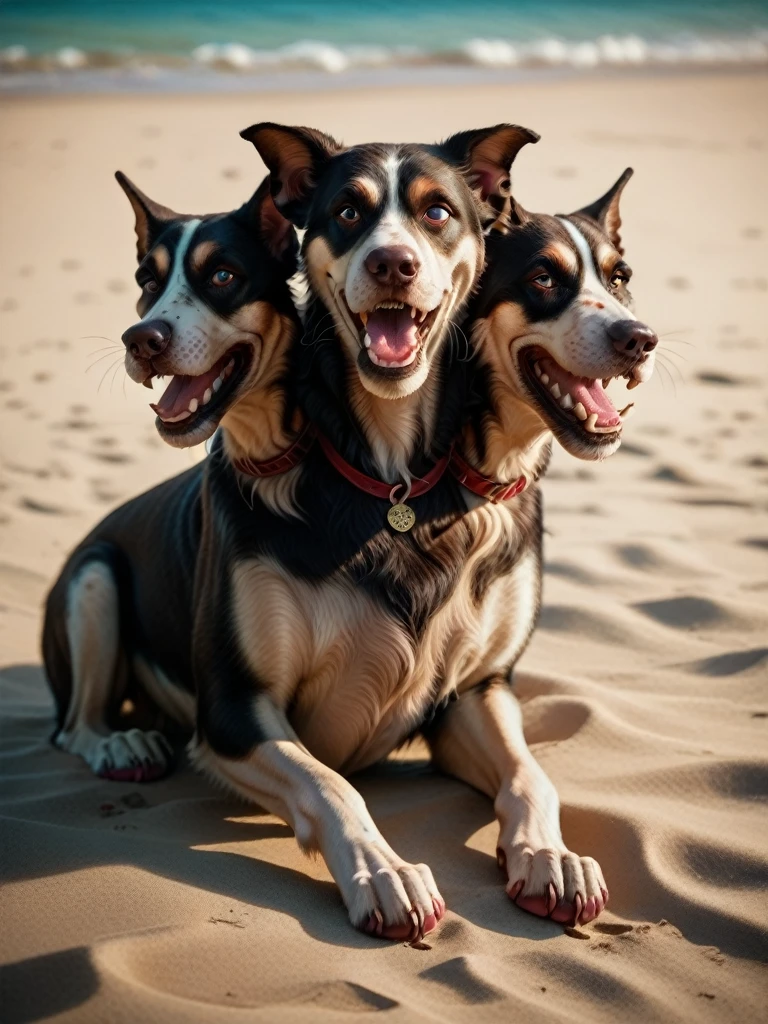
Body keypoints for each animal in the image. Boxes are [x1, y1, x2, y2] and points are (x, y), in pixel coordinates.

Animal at [423, 169, 659, 929]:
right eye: (543, 278)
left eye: (620, 279)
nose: (640, 339)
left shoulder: (478, 686)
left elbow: (533, 773)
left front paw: (549, 855)